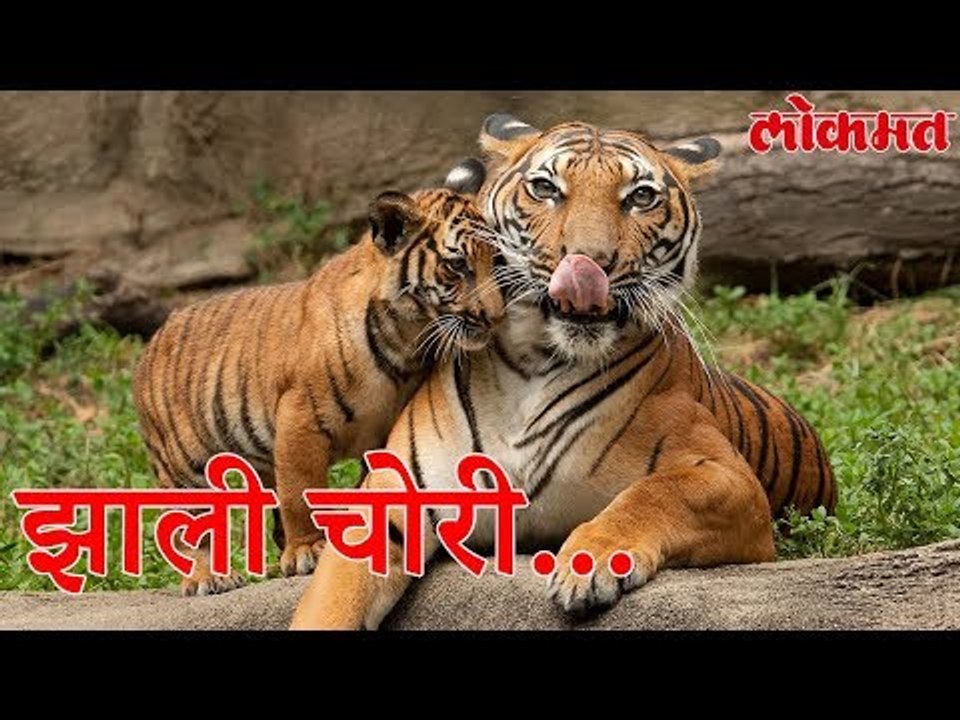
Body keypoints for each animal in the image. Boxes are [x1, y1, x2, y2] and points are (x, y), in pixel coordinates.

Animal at [133, 185, 504, 596]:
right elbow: (301, 494)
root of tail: (153, 339)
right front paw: (308, 551)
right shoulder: (300, 420)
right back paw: (208, 577)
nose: (496, 316)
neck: (408, 340)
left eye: (496, 260)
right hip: (184, 466)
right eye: (457, 266)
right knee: (188, 528)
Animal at [289, 114, 836, 630]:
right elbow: (332, 602)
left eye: (640, 197)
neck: (534, 363)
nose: (589, 262)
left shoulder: (725, 475)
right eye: (546, 188)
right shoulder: (395, 499)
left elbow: (653, 494)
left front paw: (590, 561)